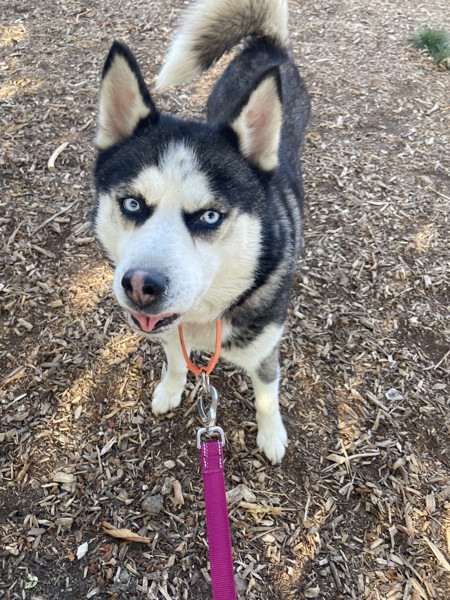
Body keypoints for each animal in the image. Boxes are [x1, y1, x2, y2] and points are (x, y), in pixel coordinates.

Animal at [91, 0, 310, 464]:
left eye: (208, 217)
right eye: (132, 204)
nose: (140, 287)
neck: (205, 316)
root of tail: (268, 44)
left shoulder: (265, 350)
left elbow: (267, 394)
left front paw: (271, 434)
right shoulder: (169, 332)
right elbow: (176, 362)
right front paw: (170, 390)